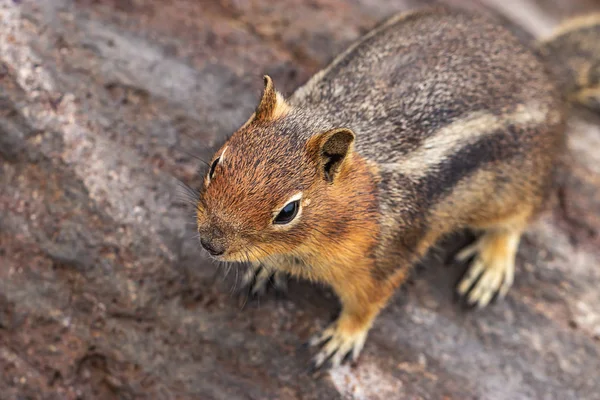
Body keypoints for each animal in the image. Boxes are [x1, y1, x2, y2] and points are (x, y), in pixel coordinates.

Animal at [195, 4, 600, 370]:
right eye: (216, 164)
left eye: (288, 211)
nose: (210, 244)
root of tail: (542, 64)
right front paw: (265, 268)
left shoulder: (386, 260)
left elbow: (366, 306)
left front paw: (343, 337)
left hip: (519, 186)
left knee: (519, 221)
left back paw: (491, 264)